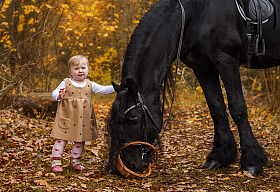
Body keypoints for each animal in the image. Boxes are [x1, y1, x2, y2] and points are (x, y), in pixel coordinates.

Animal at [106, 0, 278, 176]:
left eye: (133, 119)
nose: (129, 165)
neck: (197, 13)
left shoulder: (227, 62)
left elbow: (238, 109)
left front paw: (251, 162)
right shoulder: (203, 68)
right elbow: (216, 109)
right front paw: (219, 157)